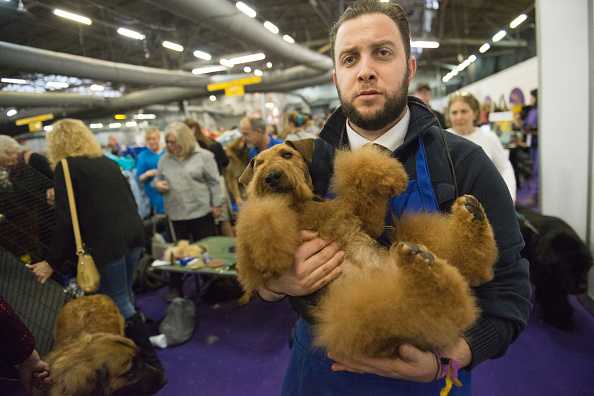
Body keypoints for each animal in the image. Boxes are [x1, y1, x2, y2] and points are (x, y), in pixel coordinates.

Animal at [234, 139, 498, 358]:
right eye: (258, 164)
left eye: (287, 155)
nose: (271, 176)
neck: (300, 209)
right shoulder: (251, 266)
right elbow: (260, 214)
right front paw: (272, 256)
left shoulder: (362, 222)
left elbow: (361, 169)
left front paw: (393, 178)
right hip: (365, 315)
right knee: (446, 301)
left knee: (469, 273)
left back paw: (470, 216)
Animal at [512, 204, 588, 332]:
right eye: (568, 268)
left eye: (586, 268)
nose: (583, 287)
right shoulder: (547, 279)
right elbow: (552, 297)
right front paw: (560, 319)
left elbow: (560, 294)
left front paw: (566, 310)